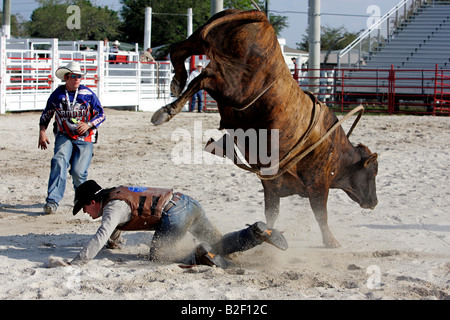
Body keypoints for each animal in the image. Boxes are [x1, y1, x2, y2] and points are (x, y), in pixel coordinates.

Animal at [152, 8, 380, 248]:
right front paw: (331, 241)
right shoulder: (318, 185)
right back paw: (167, 109)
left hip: (201, 43)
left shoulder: (272, 187)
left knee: (179, 49)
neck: (334, 149)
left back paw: (177, 82)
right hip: (234, 86)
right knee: (205, 77)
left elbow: (272, 214)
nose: (374, 202)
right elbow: (321, 215)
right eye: (373, 171)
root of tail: (259, 17)